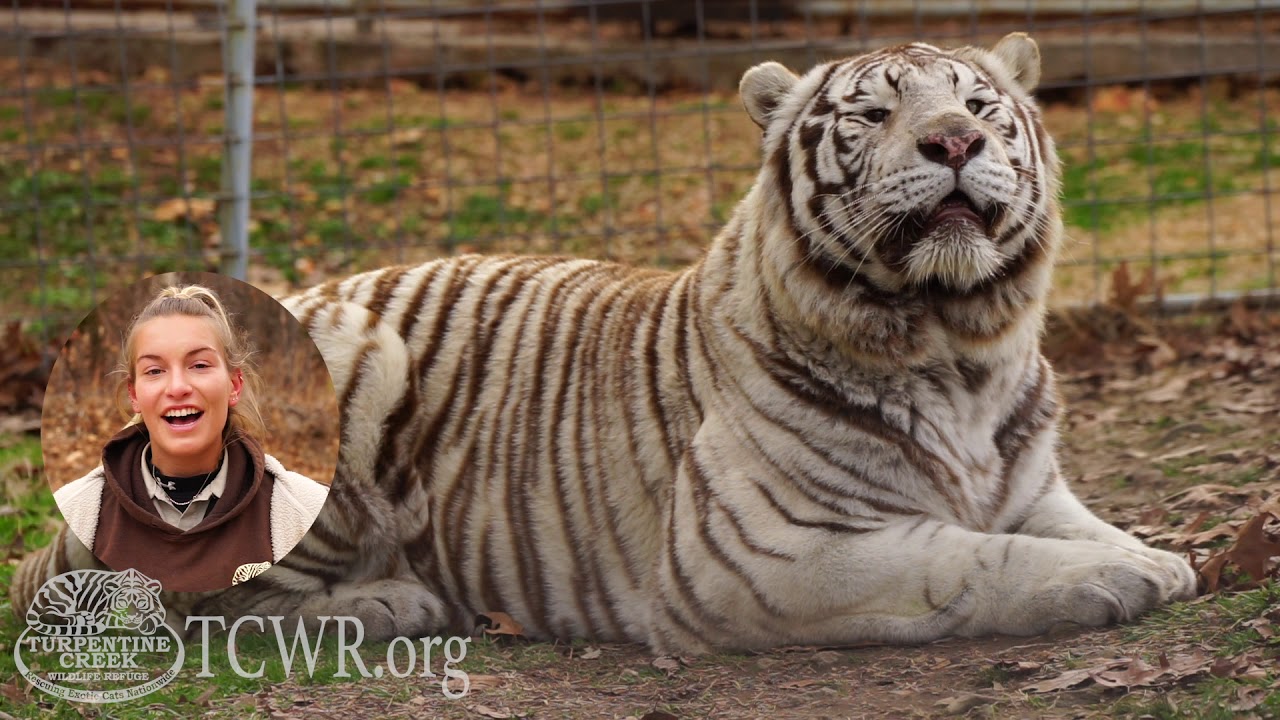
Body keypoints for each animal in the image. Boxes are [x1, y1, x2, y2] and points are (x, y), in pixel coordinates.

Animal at [14, 33, 1196, 654]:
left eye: (980, 108)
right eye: (871, 116)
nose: (951, 143)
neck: (956, 347)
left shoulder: (1027, 483)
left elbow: (1065, 526)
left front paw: (1153, 555)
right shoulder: (769, 555)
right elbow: (968, 558)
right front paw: (1119, 579)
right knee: (194, 599)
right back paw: (397, 599)